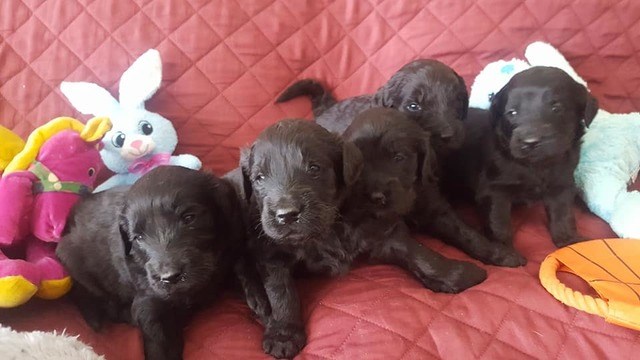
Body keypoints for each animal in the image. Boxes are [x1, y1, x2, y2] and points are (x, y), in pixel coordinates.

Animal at [444, 67, 600, 248]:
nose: (530, 142)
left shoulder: (562, 183)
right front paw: (504, 248)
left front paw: (569, 241)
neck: (535, 164)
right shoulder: (494, 189)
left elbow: (563, 214)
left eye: (556, 108)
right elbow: (498, 223)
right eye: (512, 112)